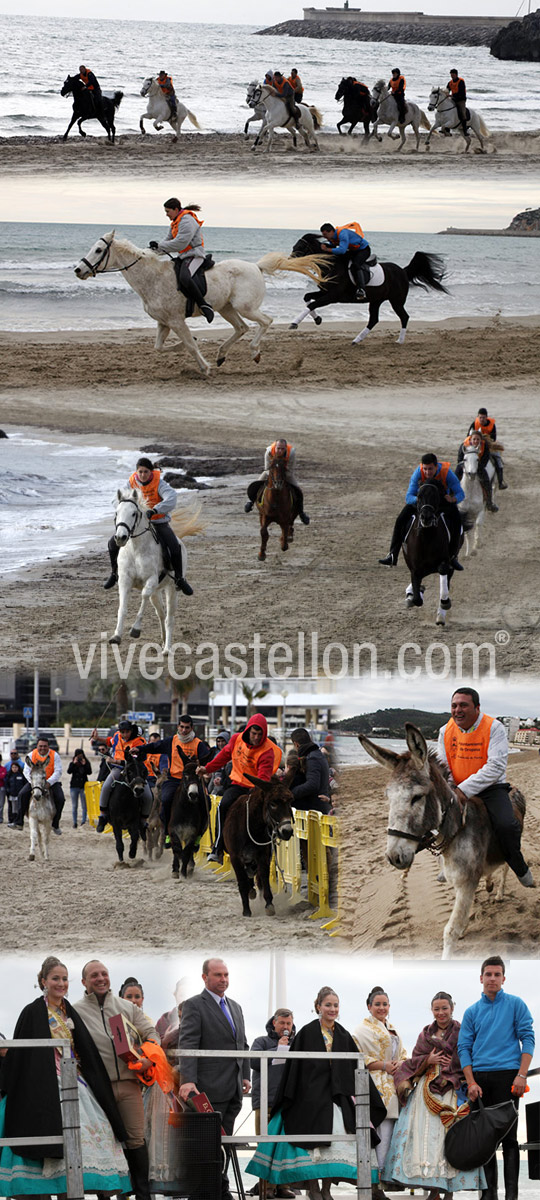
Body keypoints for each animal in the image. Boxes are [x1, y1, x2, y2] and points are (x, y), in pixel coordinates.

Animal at [74, 232, 321, 374]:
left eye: (98, 250)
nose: (78, 269)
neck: (152, 277)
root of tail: (256, 266)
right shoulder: (164, 323)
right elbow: (159, 347)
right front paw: (187, 346)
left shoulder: (176, 320)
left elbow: (190, 347)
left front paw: (204, 367)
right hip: (226, 308)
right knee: (241, 328)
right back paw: (221, 355)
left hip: (245, 307)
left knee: (265, 321)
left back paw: (254, 352)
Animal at [111, 489, 204, 652]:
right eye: (117, 512)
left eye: (134, 514)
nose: (120, 537)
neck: (135, 549)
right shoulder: (124, 581)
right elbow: (122, 607)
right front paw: (116, 636)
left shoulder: (151, 580)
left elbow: (143, 595)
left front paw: (135, 629)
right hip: (156, 593)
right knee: (160, 614)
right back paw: (163, 640)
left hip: (171, 589)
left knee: (169, 618)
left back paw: (167, 648)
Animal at [289, 230, 448, 345]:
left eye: (300, 247)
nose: (289, 261)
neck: (332, 267)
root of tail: (403, 271)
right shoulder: (324, 292)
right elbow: (307, 298)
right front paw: (318, 319)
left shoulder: (332, 297)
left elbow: (312, 304)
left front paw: (294, 323)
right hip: (376, 300)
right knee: (374, 320)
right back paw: (356, 340)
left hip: (396, 301)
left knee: (404, 316)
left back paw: (399, 340)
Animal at [357, 720, 528, 955]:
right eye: (388, 797)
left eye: (417, 797)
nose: (394, 857)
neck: (457, 829)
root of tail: (514, 790)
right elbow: (459, 918)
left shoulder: (465, 883)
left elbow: (450, 930)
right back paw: (489, 883)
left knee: (505, 868)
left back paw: (502, 891)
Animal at [400, 480, 460, 628]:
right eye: (418, 496)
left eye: (436, 497)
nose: (426, 517)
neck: (426, 539)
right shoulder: (415, 568)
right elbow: (417, 599)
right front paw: (414, 593)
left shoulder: (445, 561)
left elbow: (443, 570)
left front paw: (444, 603)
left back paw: (441, 616)